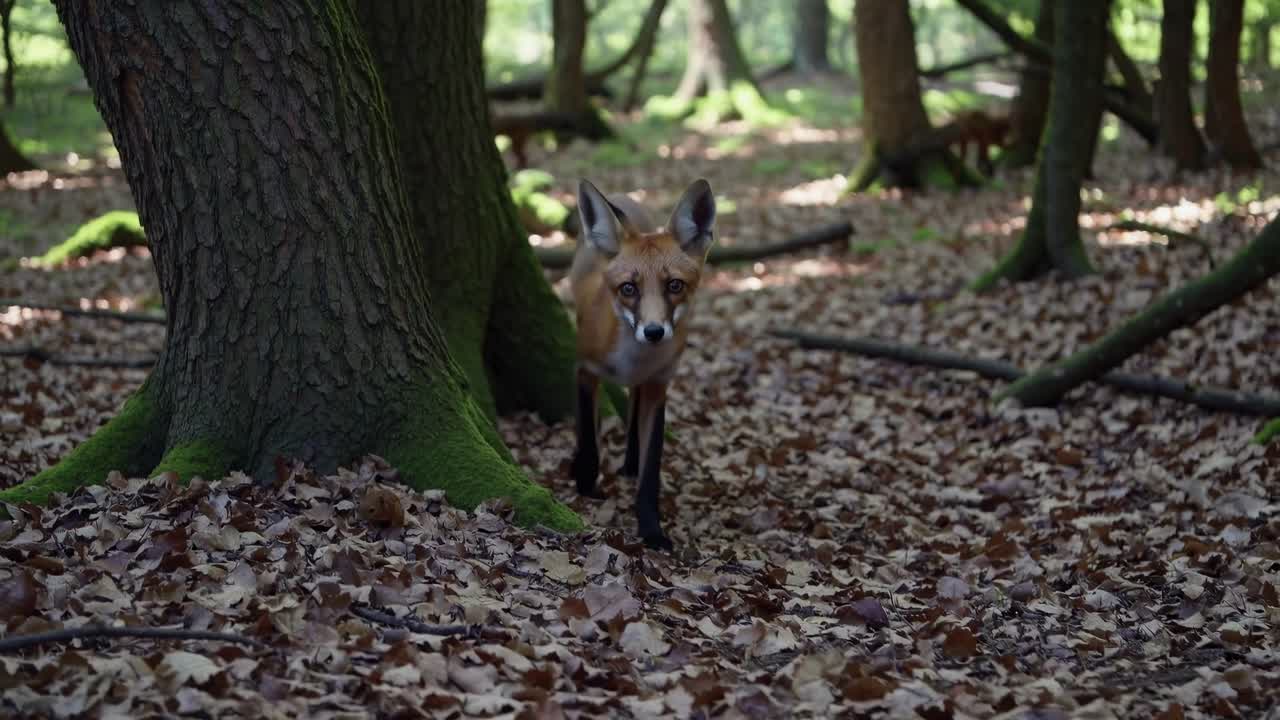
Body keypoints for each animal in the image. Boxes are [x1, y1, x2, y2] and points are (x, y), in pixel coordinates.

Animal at [569, 178, 716, 551]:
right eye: (628, 288)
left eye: (674, 285)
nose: (653, 332)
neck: (633, 360)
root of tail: (623, 197)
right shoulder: (585, 370)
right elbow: (588, 434)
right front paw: (586, 481)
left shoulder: (658, 385)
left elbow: (651, 472)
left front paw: (651, 530)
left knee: (633, 411)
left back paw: (630, 463)